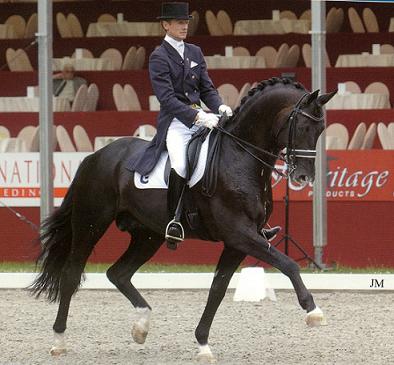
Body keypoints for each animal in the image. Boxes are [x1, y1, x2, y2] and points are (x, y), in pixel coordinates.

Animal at [31, 77, 336, 362]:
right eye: (302, 126)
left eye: (321, 130)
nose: (304, 177)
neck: (240, 157)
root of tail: (94, 156)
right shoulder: (240, 235)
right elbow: (288, 265)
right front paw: (313, 310)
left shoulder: (238, 242)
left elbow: (217, 289)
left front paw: (203, 345)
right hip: (90, 223)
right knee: (71, 274)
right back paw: (58, 341)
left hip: (148, 235)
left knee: (118, 273)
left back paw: (141, 326)